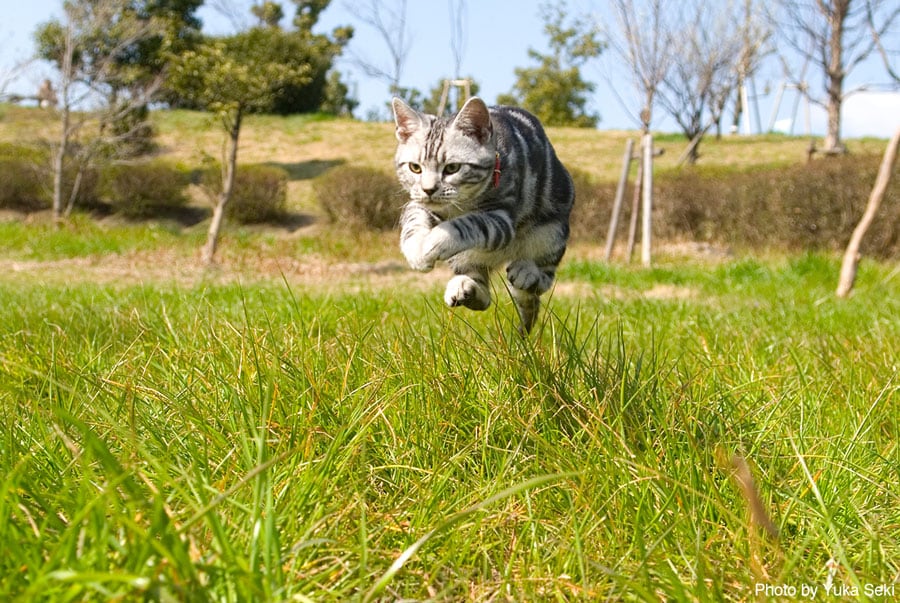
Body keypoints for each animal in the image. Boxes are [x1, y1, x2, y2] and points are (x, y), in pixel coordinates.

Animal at [390, 97, 572, 338]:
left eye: (452, 168)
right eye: (415, 168)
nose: (429, 189)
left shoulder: (499, 217)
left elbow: (465, 224)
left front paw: (433, 242)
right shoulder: (417, 203)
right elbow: (412, 222)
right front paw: (415, 251)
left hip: (552, 233)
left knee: (542, 280)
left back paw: (527, 272)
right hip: (465, 259)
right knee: (484, 296)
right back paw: (466, 288)